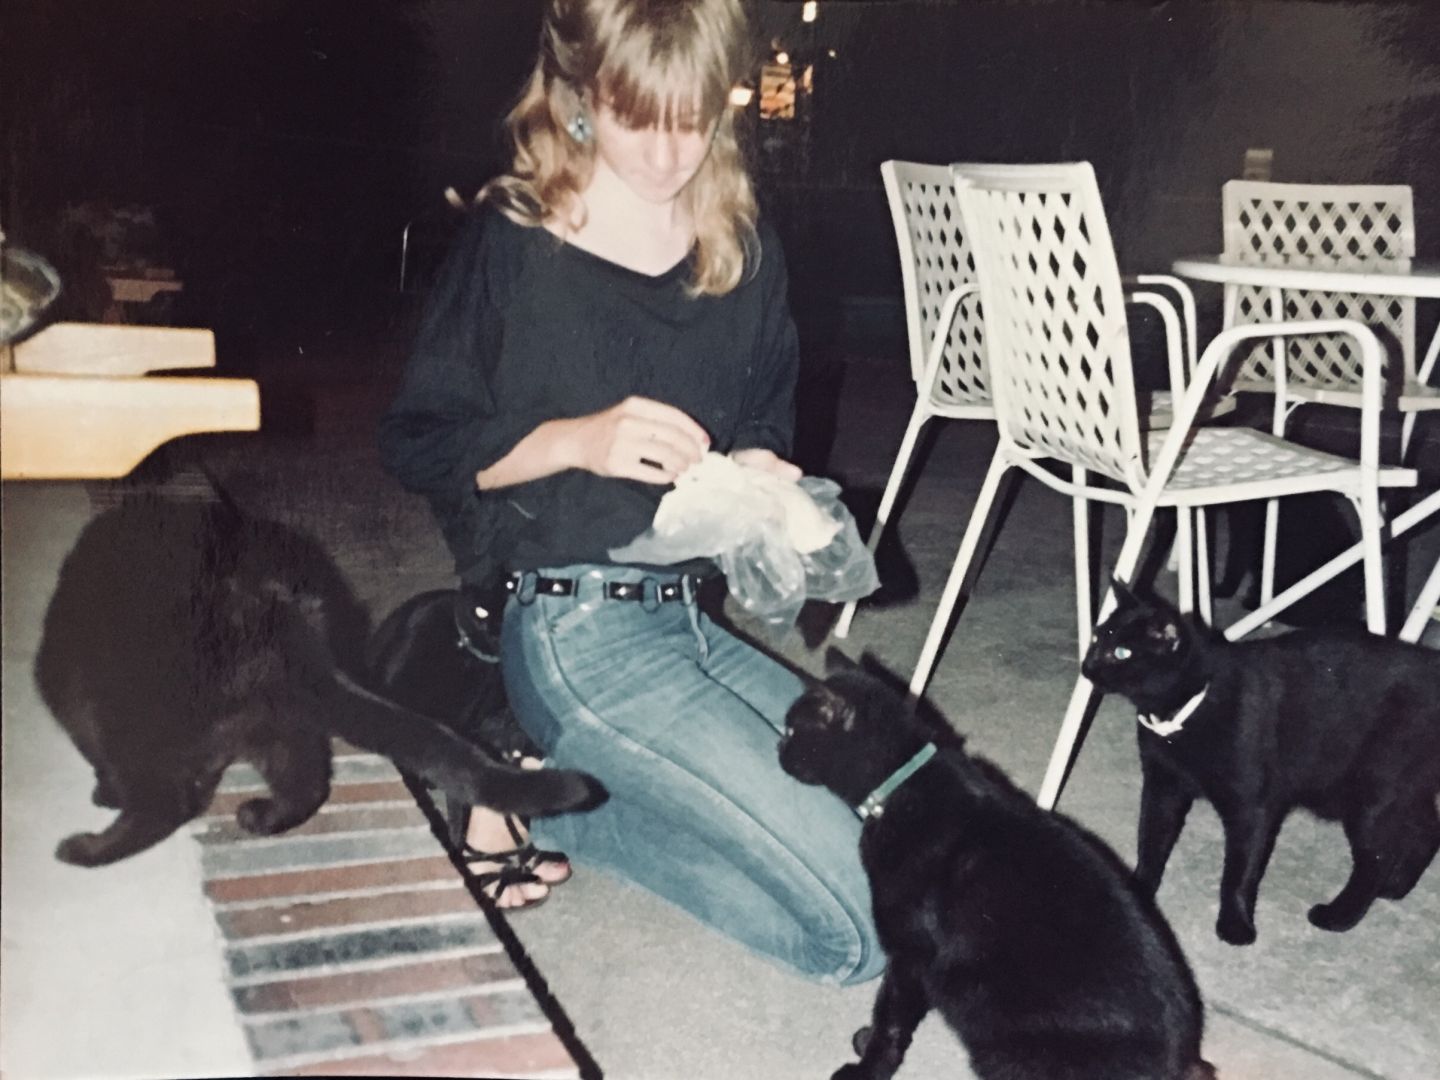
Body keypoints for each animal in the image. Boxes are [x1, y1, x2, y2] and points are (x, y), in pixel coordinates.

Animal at [32, 489, 607, 869]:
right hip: (283, 718)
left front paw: (105, 790)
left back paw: (86, 849)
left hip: (128, 707)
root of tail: (277, 619)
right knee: (306, 781)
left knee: (164, 802)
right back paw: (261, 817)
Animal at [783, 656, 1209, 1080]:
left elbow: (891, 1017)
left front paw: (868, 1066)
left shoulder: (911, 954)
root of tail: (1181, 1063)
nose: (779, 747)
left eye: (791, 730)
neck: (903, 784)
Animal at [1082, 584, 1440, 944]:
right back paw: (1395, 887)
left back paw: (1339, 916)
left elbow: (1239, 871)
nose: (1087, 666)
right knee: (1425, 828)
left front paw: (1235, 925)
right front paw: (1138, 894)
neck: (1189, 707)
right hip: (1398, 789)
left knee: (1377, 858)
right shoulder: (1162, 787)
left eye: (1122, 652)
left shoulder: (1250, 807)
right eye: (1097, 638)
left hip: (1369, 794)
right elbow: (1151, 843)